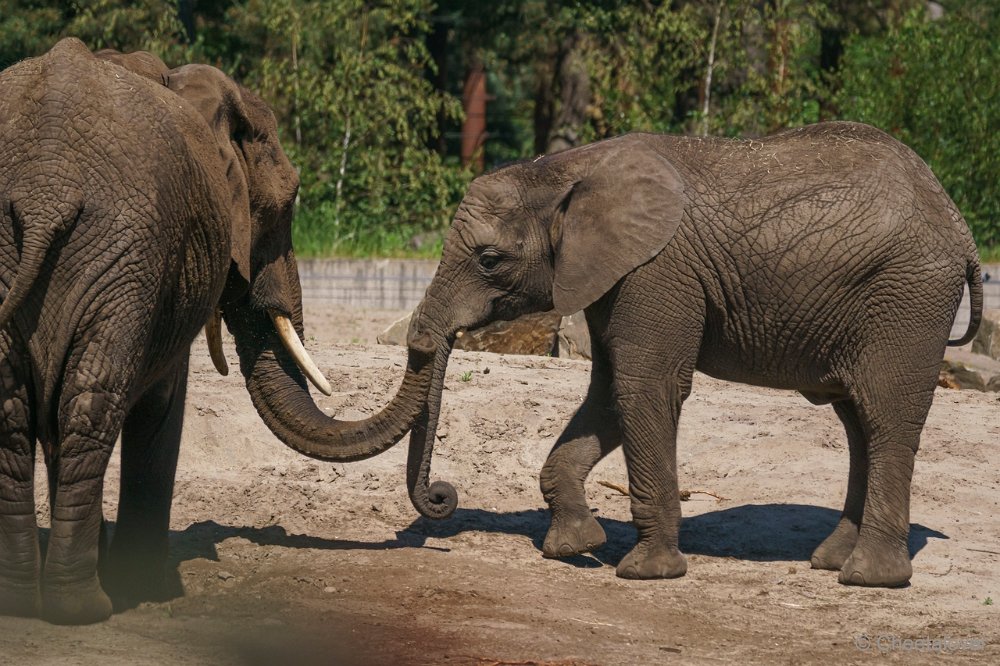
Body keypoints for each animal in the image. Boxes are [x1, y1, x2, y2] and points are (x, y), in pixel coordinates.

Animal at [1, 40, 434, 624]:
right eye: (289, 201)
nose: (424, 341)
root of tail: (45, 191)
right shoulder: (162, 266)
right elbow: (164, 398)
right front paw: (141, 583)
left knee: (19, 413)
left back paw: (22, 602)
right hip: (125, 251)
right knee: (89, 405)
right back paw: (83, 606)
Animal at [394, 119, 980, 588]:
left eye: (489, 259)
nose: (443, 496)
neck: (570, 168)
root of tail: (959, 223)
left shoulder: (656, 269)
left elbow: (644, 386)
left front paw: (645, 573)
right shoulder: (611, 274)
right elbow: (611, 392)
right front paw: (574, 547)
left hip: (908, 298)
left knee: (885, 417)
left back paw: (868, 579)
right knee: (857, 422)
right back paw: (831, 561)